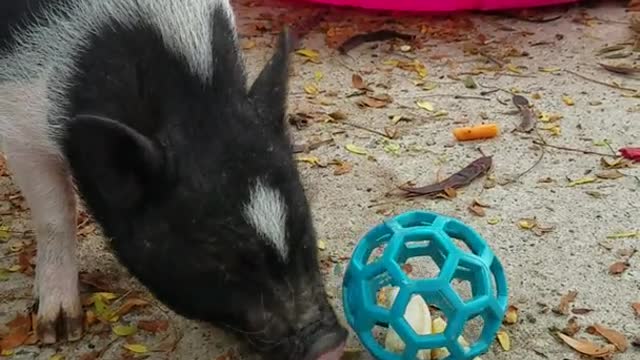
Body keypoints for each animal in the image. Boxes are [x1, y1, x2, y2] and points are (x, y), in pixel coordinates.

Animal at [0, 1, 348, 358]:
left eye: (304, 224)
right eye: (217, 255)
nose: (329, 344)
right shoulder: (18, 118)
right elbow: (54, 217)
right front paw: (59, 331)